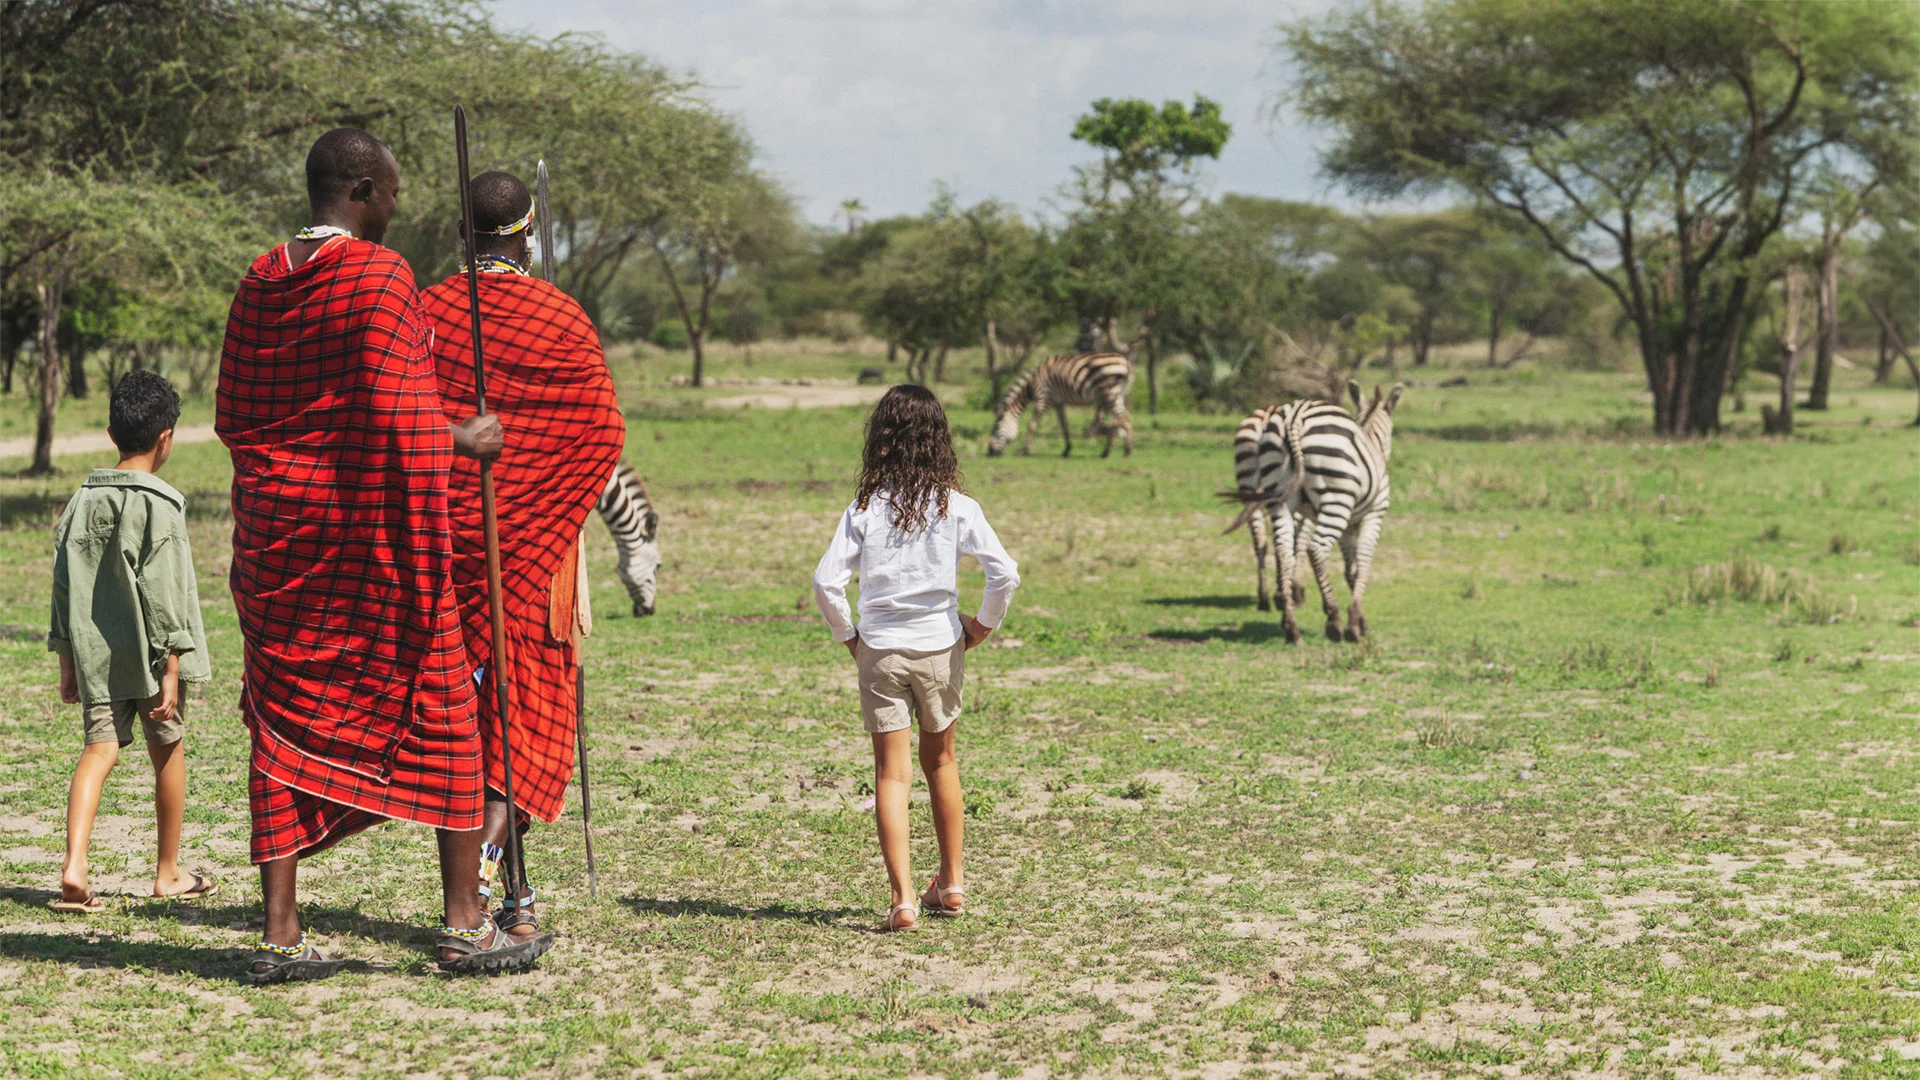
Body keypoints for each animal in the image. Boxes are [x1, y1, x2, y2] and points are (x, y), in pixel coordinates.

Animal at [987, 352, 1134, 458]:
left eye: (996, 428)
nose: (989, 451)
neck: (1032, 385)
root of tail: (1126, 362)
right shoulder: (1058, 402)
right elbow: (1064, 425)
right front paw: (1067, 450)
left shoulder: (1043, 397)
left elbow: (1032, 425)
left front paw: (1023, 451)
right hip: (1117, 395)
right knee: (1118, 420)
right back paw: (1105, 452)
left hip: (1110, 393)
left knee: (1124, 419)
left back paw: (1127, 451)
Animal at [1226, 382, 1405, 644]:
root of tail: (1294, 418)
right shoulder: (1373, 516)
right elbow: (1363, 565)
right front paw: (1356, 624)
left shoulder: (1349, 525)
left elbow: (1351, 571)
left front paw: (1359, 620)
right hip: (1335, 500)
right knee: (1315, 548)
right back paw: (1333, 620)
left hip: (1273, 495)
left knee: (1276, 546)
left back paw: (1287, 622)